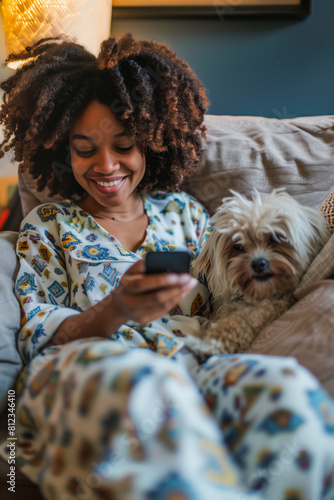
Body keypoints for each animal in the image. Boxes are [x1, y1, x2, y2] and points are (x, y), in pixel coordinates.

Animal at [185, 188, 332, 360]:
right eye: (238, 246)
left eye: (274, 237)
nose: (258, 264)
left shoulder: (271, 307)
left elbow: (244, 321)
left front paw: (207, 342)